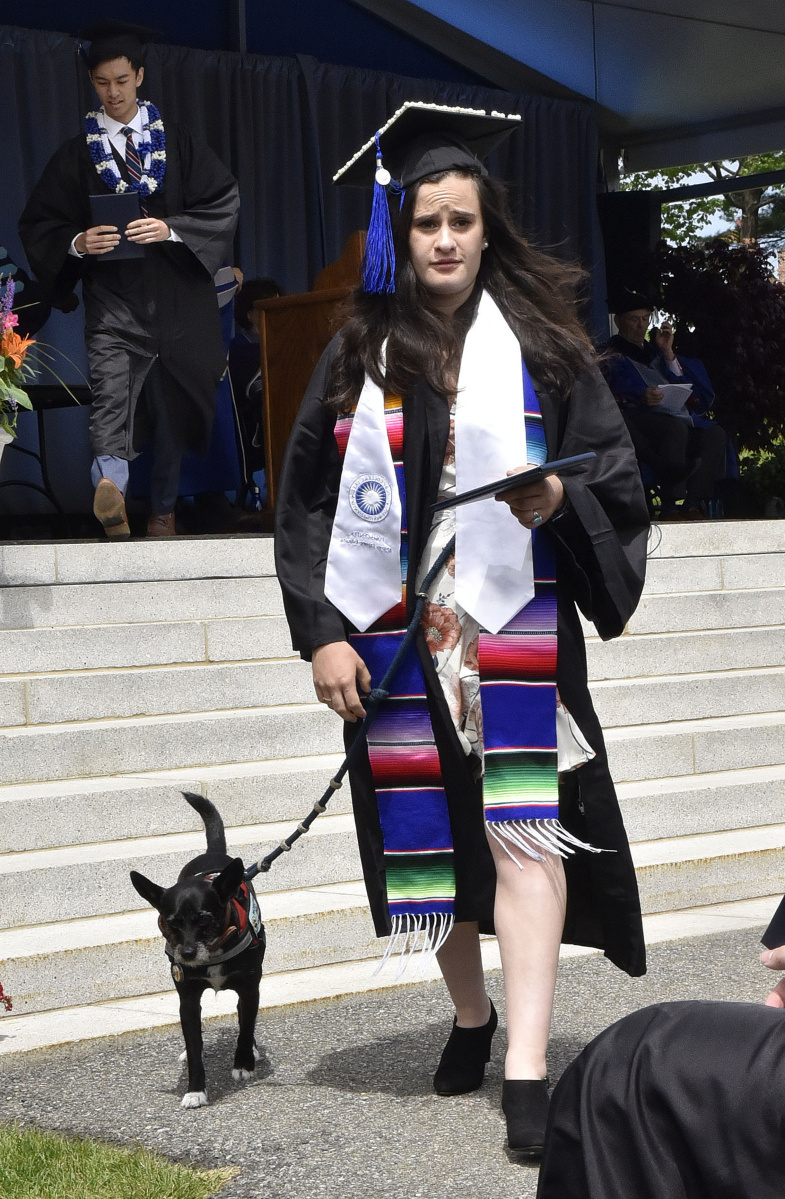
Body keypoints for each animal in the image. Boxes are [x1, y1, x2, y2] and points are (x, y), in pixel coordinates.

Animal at [128, 791, 263, 1107]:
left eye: (205, 920)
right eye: (171, 923)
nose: (187, 955)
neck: (213, 952)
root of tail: (213, 855)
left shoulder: (250, 988)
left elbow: (245, 1026)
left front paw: (243, 1063)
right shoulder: (188, 1000)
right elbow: (193, 1044)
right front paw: (195, 1090)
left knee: (246, 1020)